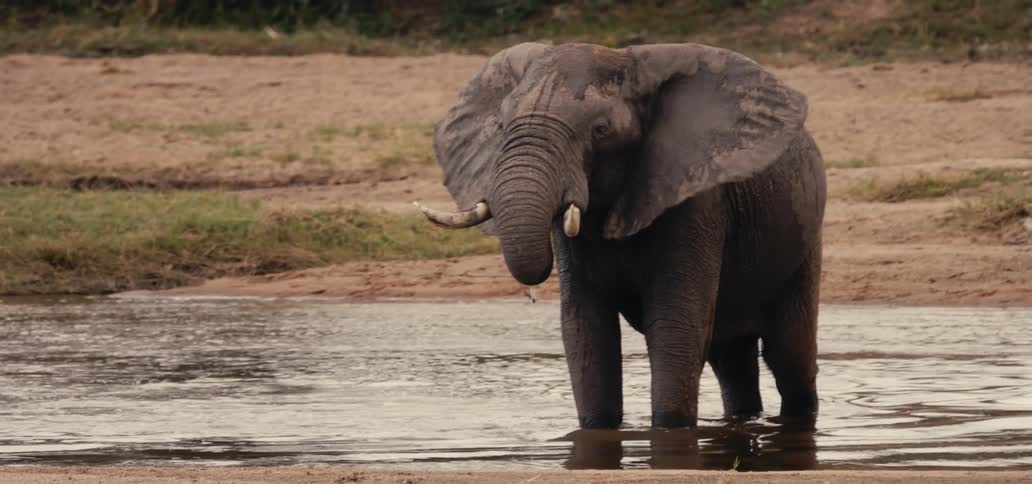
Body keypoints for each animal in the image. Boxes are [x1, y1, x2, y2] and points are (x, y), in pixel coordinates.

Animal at [417, 42, 825, 429]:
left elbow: (676, 326)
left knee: (789, 354)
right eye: (501, 126)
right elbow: (586, 329)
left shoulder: (695, 200)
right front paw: (597, 429)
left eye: (601, 131)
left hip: (805, 240)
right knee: (730, 359)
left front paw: (669, 430)